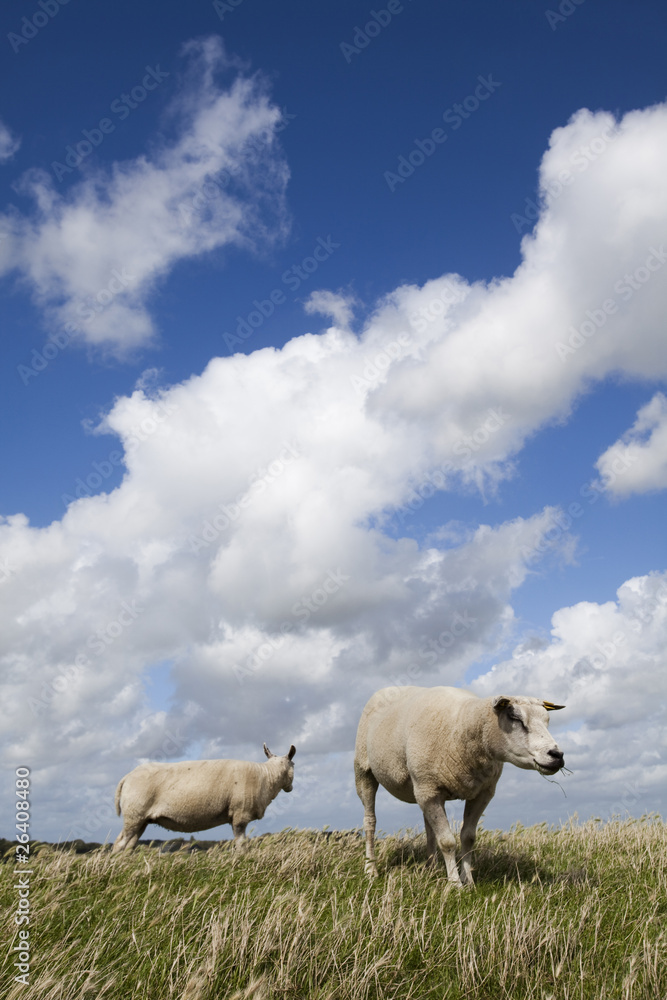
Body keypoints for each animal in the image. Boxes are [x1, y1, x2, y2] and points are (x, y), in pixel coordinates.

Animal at [112, 743, 296, 851]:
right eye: (293, 764)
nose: (290, 788)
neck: (266, 776)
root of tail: (127, 777)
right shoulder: (240, 816)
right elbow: (241, 845)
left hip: (141, 819)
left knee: (129, 845)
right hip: (134, 815)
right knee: (119, 844)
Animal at [354, 686, 565, 885]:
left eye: (547, 720)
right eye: (514, 717)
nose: (557, 755)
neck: (463, 723)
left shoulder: (483, 793)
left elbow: (468, 837)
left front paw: (468, 879)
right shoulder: (430, 790)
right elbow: (447, 841)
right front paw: (455, 884)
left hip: (423, 788)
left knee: (429, 828)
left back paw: (431, 868)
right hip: (365, 771)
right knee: (370, 821)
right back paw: (371, 869)